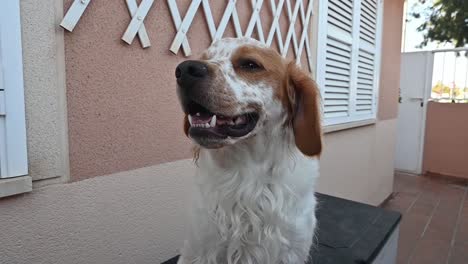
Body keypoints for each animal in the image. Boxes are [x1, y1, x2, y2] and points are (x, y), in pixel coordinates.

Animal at [176, 37, 322, 264]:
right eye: (205, 58)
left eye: (250, 65)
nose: (184, 69)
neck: (245, 173)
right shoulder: (199, 249)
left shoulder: (291, 251)